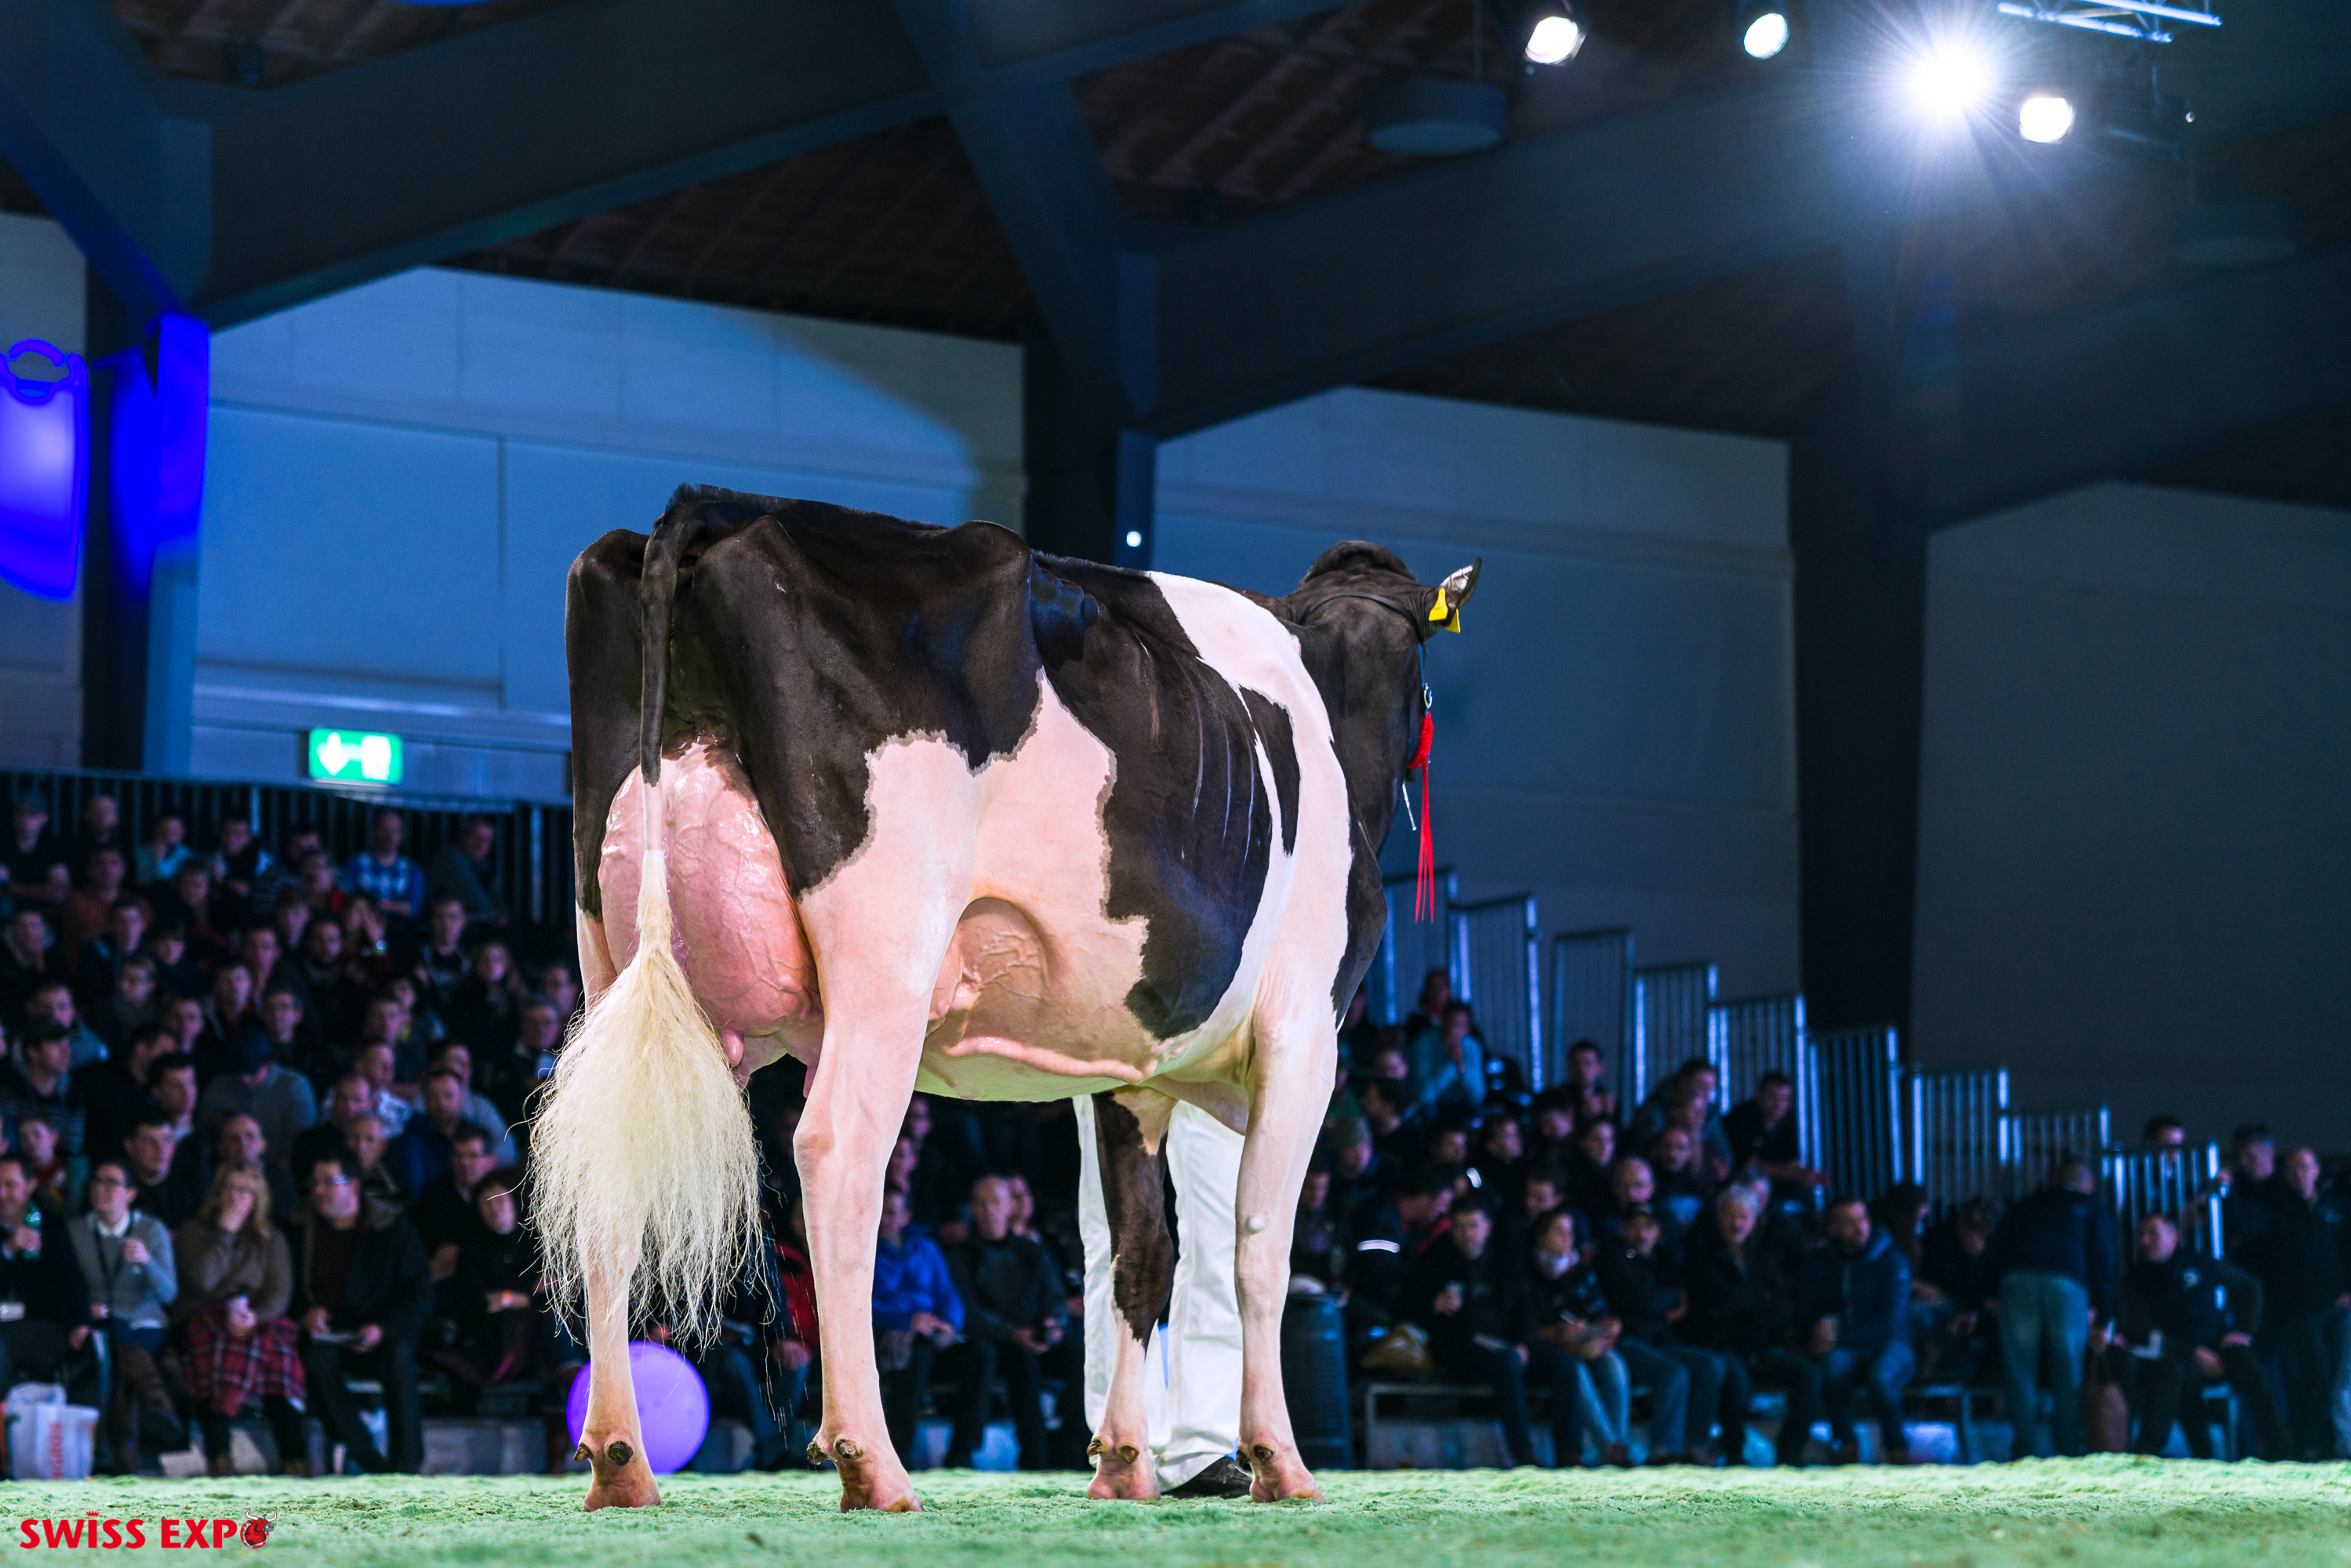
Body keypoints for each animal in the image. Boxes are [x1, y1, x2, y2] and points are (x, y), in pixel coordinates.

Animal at [531, 484, 1476, 1513]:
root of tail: (712, 505)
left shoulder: (1131, 1074)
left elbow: (1139, 1255)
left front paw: (1124, 1463)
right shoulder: (1305, 1030)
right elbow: (1259, 1245)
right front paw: (1280, 1460)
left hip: (608, 951)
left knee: (607, 1160)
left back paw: (621, 1459)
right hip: (886, 946)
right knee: (836, 1153)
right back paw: (871, 1459)